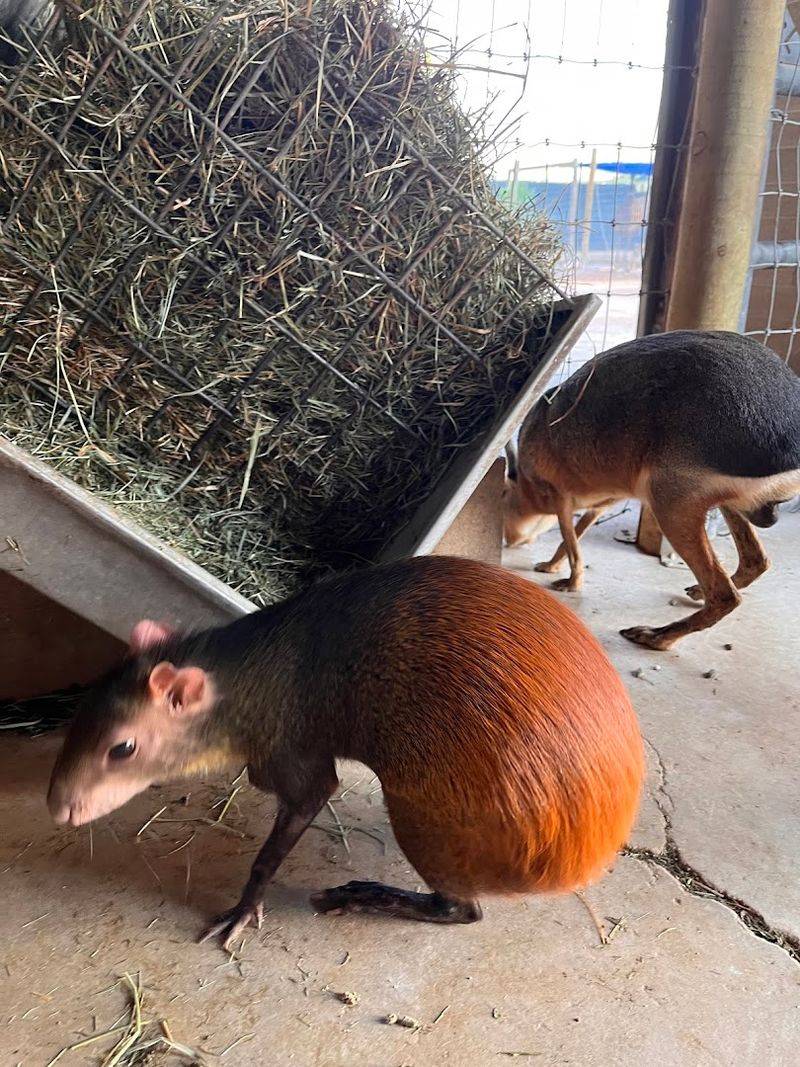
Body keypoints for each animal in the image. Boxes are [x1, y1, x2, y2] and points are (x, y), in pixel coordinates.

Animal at [47, 555, 644, 951]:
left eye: (123, 747)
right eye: (79, 714)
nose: (58, 806)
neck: (249, 678)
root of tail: (583, 856)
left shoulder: (293, 756)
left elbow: (283, 835)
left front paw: (242, 910)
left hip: (426, 825)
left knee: (464, 910)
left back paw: (364, 895)